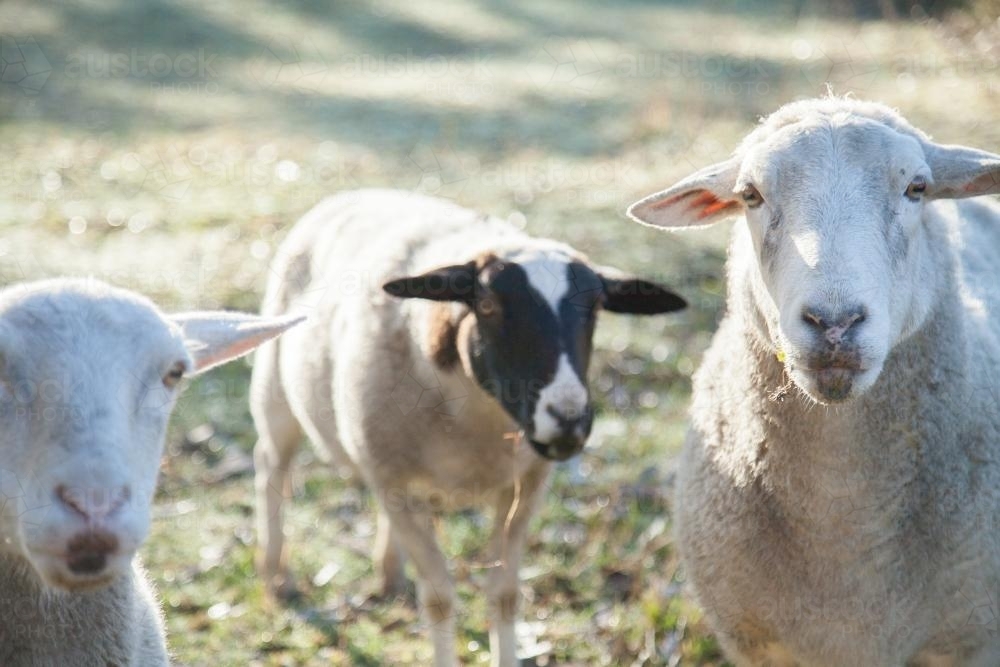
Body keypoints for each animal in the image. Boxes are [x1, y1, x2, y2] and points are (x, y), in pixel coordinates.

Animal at [250, 189, 688, 667]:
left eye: (594, 310)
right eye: (488, 306)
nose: (567, 420)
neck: (481, 423)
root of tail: (356, 193)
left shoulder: (525, 487)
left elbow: (505, 595)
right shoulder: (397, 483)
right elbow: (440, 599)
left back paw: (389, 576)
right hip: (276, 395)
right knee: (272, 469)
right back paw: (276, 577)